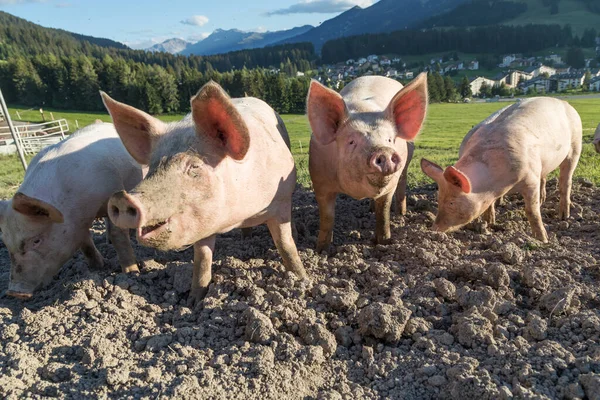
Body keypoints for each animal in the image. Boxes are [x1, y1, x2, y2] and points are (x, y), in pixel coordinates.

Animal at [0, 123, 143, 298]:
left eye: (36, 240)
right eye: (5, 242)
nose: (15, 292)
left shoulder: (114, 190)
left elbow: (119, 235)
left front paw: (132, 273)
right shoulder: (77, 224)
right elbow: (85, 243)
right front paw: (98, 267)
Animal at [101, 83, 308, 304]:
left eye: (194, 166)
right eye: (153, 167)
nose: (121, 198)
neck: (238, 216)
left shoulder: (280, 201)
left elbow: (286, 245)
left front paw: (302, 280)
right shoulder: (202, 223)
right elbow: (202, 259)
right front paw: (194, 302)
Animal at [308, 73, 428, 252]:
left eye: (389, 139)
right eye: (351, 142)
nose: (383, 151)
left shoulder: (390, 186)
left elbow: (383, 213)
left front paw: (384, 243)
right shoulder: (320, 181)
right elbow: (327, 217)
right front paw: (321, 250)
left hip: (406, 163)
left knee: (403, 182)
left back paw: (401, 214)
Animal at [422, 96, 580, 244]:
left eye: (451, 203)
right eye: (439, 199)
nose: (433, 229)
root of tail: (563, 102)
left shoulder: (530, 178)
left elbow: (532, 211)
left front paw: (543, 239)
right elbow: (489, 205)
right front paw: (489, 223)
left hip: (575, 147)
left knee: (566, 181)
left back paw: (564, 216)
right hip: (544, 164)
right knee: (545, 176)